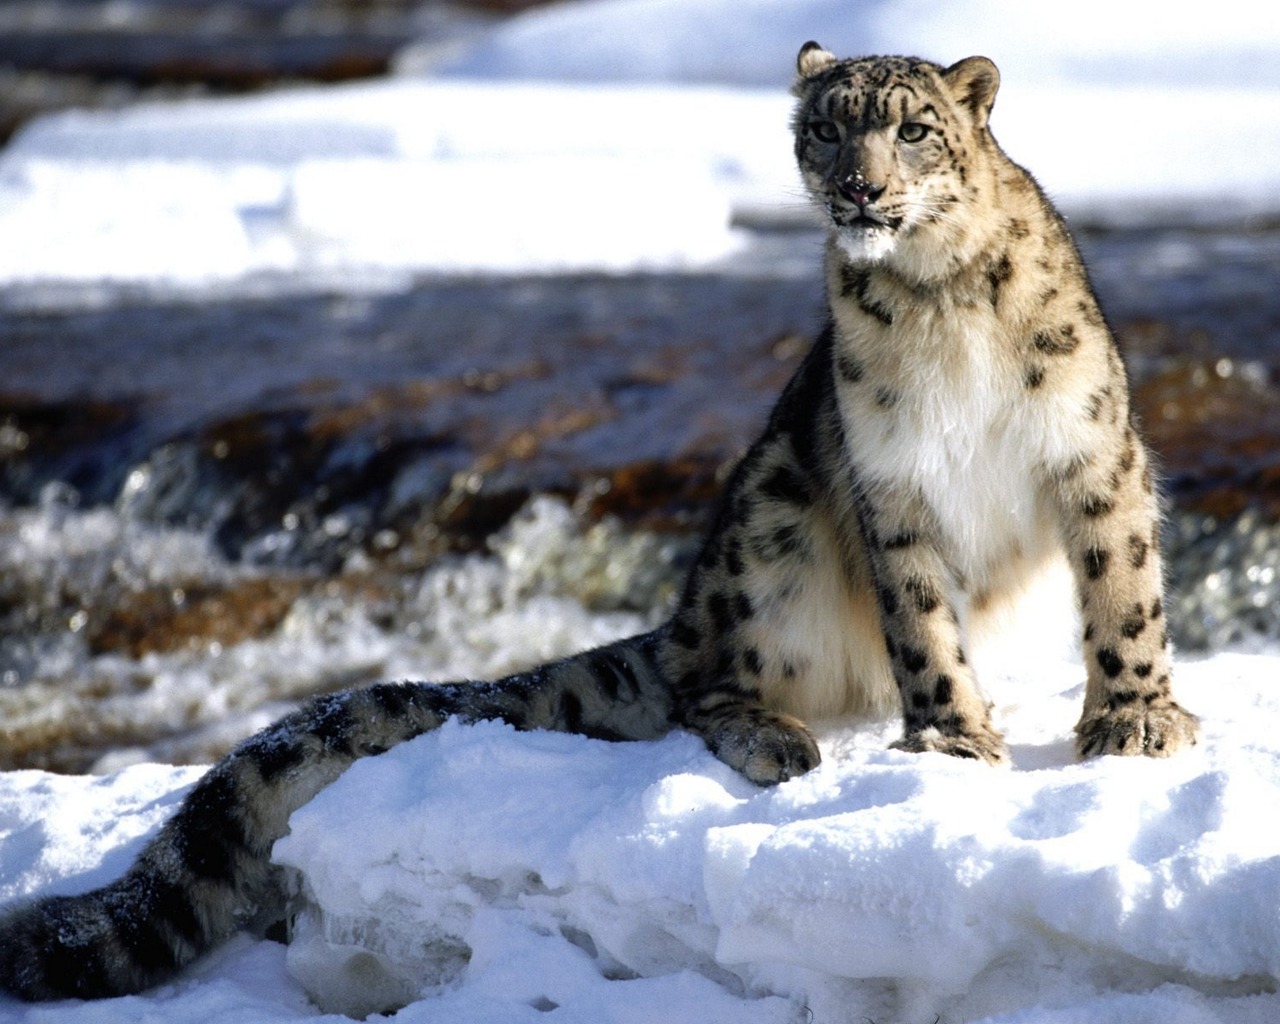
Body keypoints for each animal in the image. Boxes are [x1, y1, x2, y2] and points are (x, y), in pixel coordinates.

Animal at [0, 43, 1198, 1001]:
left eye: (912, 128)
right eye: (825, 128)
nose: (860, 189)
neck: (936, 301)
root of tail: (687, 615)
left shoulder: (1091, 449)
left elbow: (1123, 586)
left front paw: (1134, 719)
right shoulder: (889, 487)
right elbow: (919, 624)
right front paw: (953, 739)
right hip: (770, 518)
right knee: (710, 680)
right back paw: (774, 734)